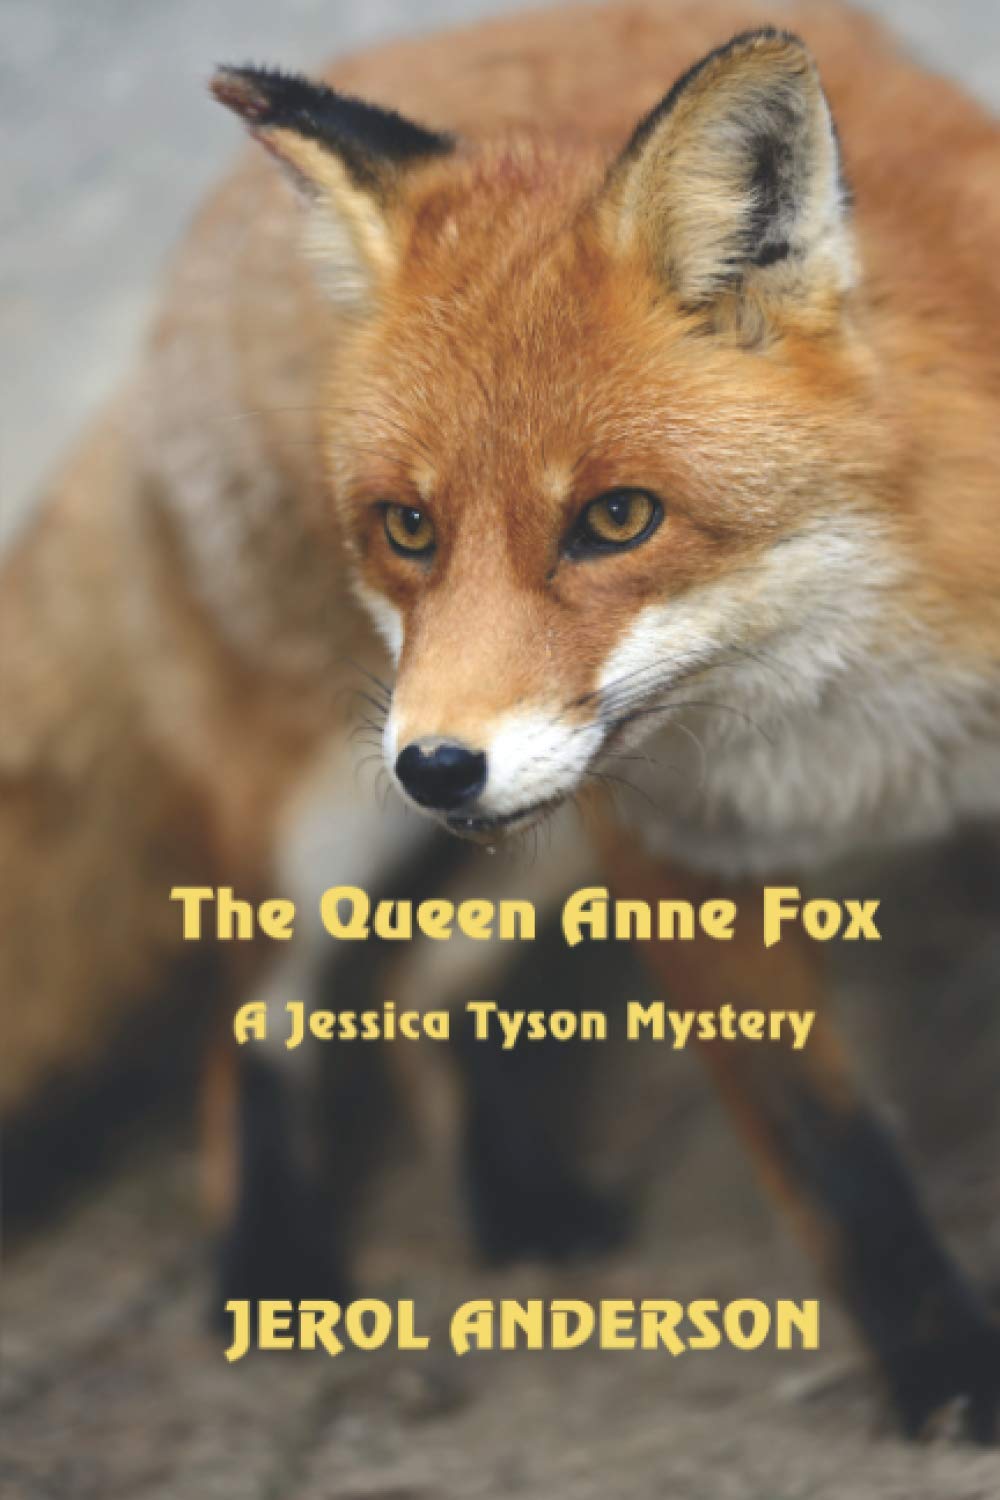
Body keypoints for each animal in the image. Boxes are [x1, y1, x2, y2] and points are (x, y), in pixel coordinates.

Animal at [3, 0, 998, 1443]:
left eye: (618, 519)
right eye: (410, 527)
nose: (431, 769)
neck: (854, 718)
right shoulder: (682, 860)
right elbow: (834, 1156)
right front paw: (948, 1379)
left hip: (540, 838)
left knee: (420, 986)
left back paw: (516, 1201)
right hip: (319, 831)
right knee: (248, 1012)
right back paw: (268, 1261)